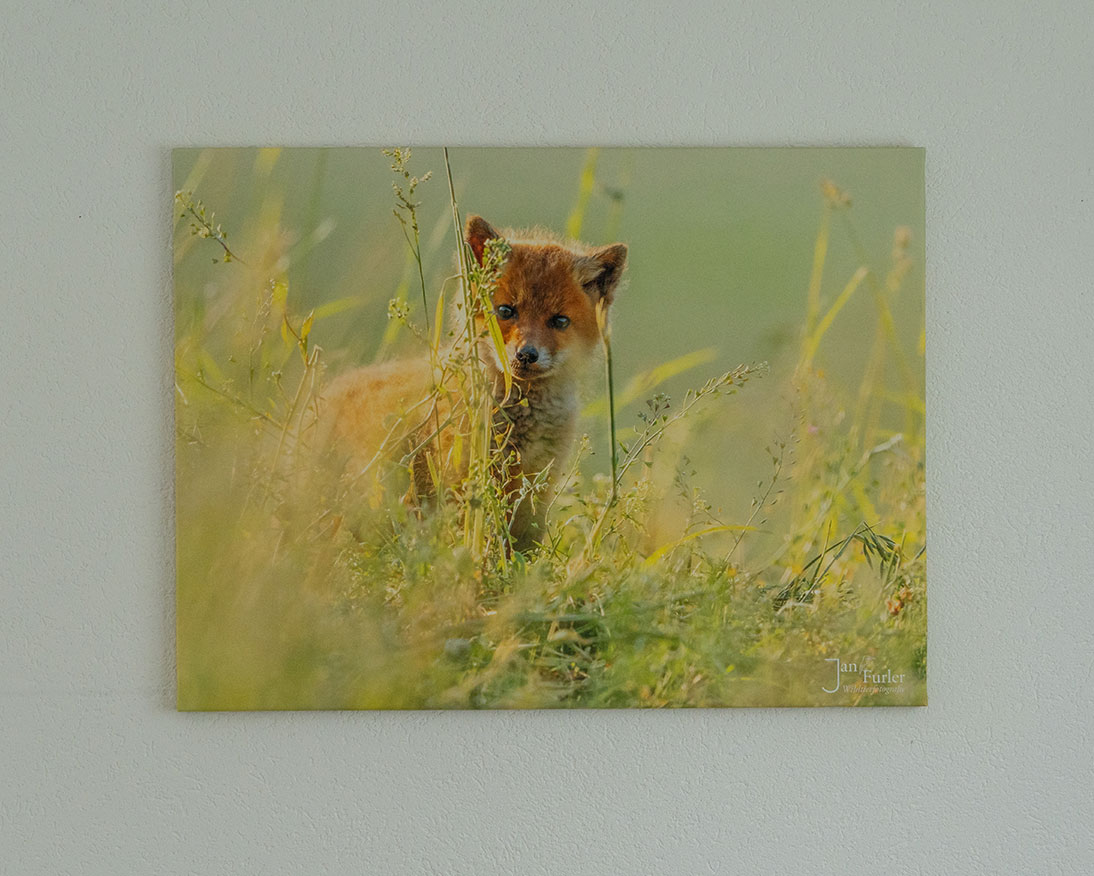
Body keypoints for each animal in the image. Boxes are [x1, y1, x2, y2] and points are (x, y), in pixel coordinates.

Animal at [321, 214, 628, 548]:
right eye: (506, 311)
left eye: (559, 321)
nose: (526, 355)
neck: (520, 422)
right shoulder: (465, 481)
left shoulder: (536, 489)